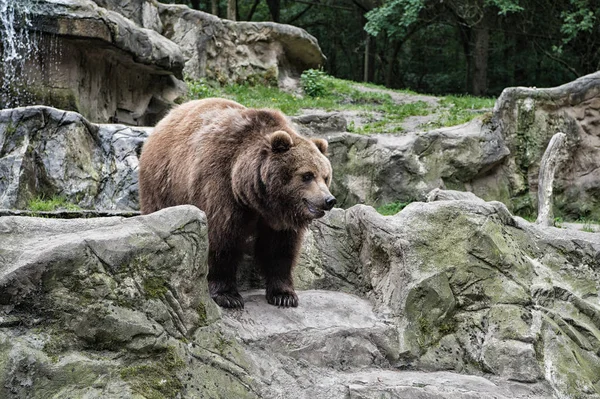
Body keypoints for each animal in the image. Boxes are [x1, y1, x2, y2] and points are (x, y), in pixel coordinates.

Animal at [140, 97, 336, 310]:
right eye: (307, 175)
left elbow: (280, 248)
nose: (329, 200)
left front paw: (284, 295)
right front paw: (228, 296)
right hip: (163, 183)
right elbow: (222, 239)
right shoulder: (221, 187)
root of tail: (167, 117)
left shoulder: (278, 218)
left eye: (325, 177)